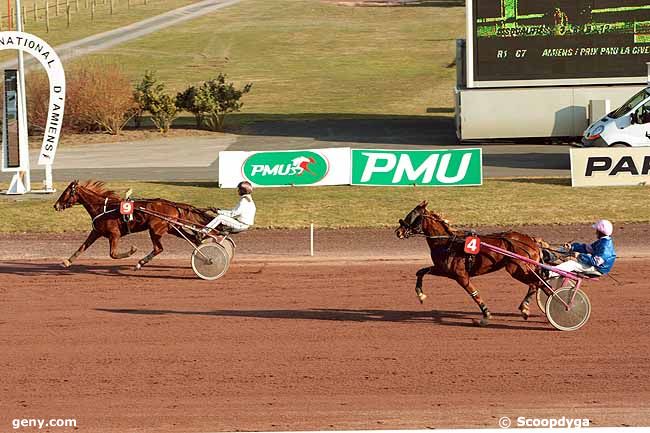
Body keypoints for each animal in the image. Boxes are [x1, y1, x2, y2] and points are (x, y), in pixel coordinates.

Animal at [53, 178, 210, 266]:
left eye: (66, 193)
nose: (56, 205)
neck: (103, 207)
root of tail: (172, 204)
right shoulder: (96, 232)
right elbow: (82, 247)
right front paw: (67, 261)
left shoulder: (114, 234)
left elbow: (113, 254)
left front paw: (132, 250)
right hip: (172, 227)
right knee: (192, 239)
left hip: (155, 229)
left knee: (159, 248)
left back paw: (140, 262)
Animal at [394, 199, 540, 324]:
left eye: (412, 215)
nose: (398, 232)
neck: (448, 243)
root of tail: (531, 241)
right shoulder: (443, 270)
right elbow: (420, 272)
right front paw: (421, 295)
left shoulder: (461, 276)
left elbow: (474, 293)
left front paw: (486, 315)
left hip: (517, 269)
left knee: (535, 284)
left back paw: (525, 308)